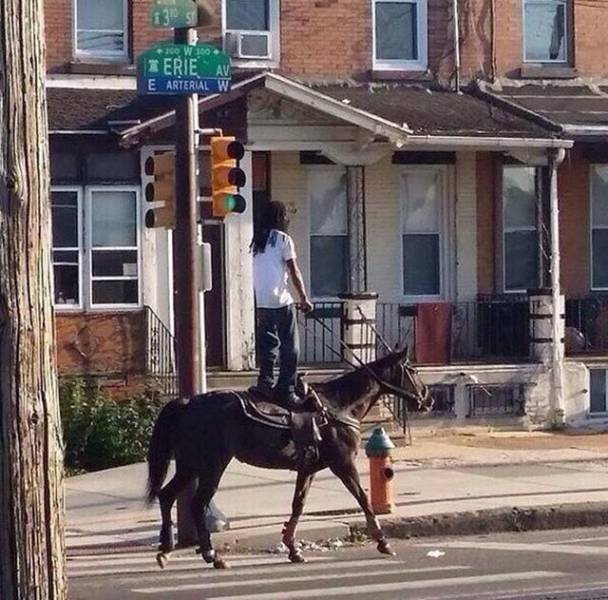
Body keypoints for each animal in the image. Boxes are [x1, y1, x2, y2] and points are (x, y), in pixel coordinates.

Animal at [147, 346, 432, 568]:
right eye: (412, 370)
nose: (427, 400)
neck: (338, 406)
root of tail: (187, 403)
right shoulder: (343, 464)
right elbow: (363, 499)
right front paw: (383, 542)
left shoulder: (308, 469)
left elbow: (298, 504)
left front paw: (293, 549)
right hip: (211, 465)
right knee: (197, 504)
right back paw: (211, 555)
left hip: (189, 465)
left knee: (167, 495)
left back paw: (165, 550)